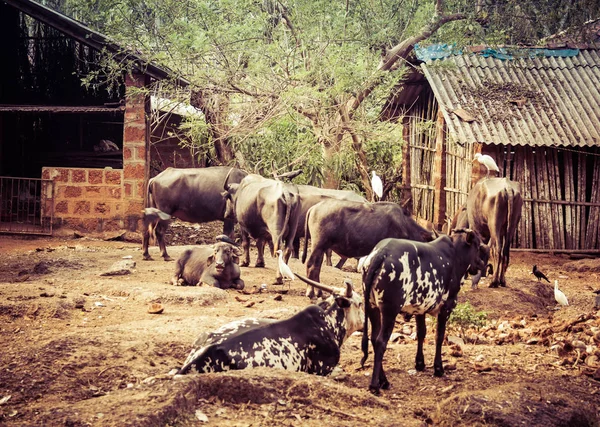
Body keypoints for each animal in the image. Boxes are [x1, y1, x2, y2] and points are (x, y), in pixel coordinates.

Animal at [300, 201, 436, 298]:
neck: (406, 227)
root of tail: (314, 208)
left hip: (322, 247)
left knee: (317, 266)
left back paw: (319, 292)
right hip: (318, 245)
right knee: (311, 265)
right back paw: (310, 292)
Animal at [358, 231, 486, 394]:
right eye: (477, 246)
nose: (482, 264)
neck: (455, 255)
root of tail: (381, 252)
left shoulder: (419, 309)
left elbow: (421, 333)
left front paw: (420, 363)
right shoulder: (447, 306)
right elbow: (439, 336)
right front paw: (438, 368)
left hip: (372, 307)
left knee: (374, 339)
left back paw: (384, 381)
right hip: (389, 311)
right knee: (381, 342)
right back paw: (375, 385)